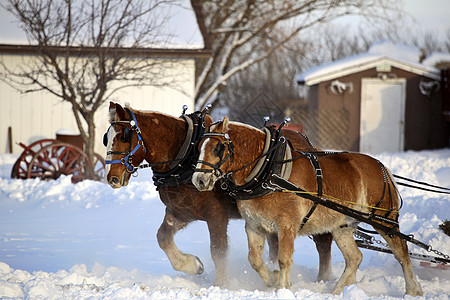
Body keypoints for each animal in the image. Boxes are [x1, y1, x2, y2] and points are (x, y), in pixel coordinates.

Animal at [103, 102, 332, 286]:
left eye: (124, 137)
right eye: (107, 138)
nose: (112, 177)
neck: (185, 156)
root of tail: (312, 147)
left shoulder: (216, 215)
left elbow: (218, 250)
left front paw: (220, 284)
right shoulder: (179, 212)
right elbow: (163, 238)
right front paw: (192, 265)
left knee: (323, 243)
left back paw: (323, 279)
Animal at [192, 116, 424, 296]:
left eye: (217, 147)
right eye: (199, 148)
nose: (199, 181)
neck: (268, 170)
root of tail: (382, 168)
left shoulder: (286, 225)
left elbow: (284, 259)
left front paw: (282, 289)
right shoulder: (254, 226)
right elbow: (255, 259)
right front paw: (272, 279)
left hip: (383, 219)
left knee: (402, 253)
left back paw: (413, 290)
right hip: (342, 226)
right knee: (354, 258)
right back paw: (336, 291)